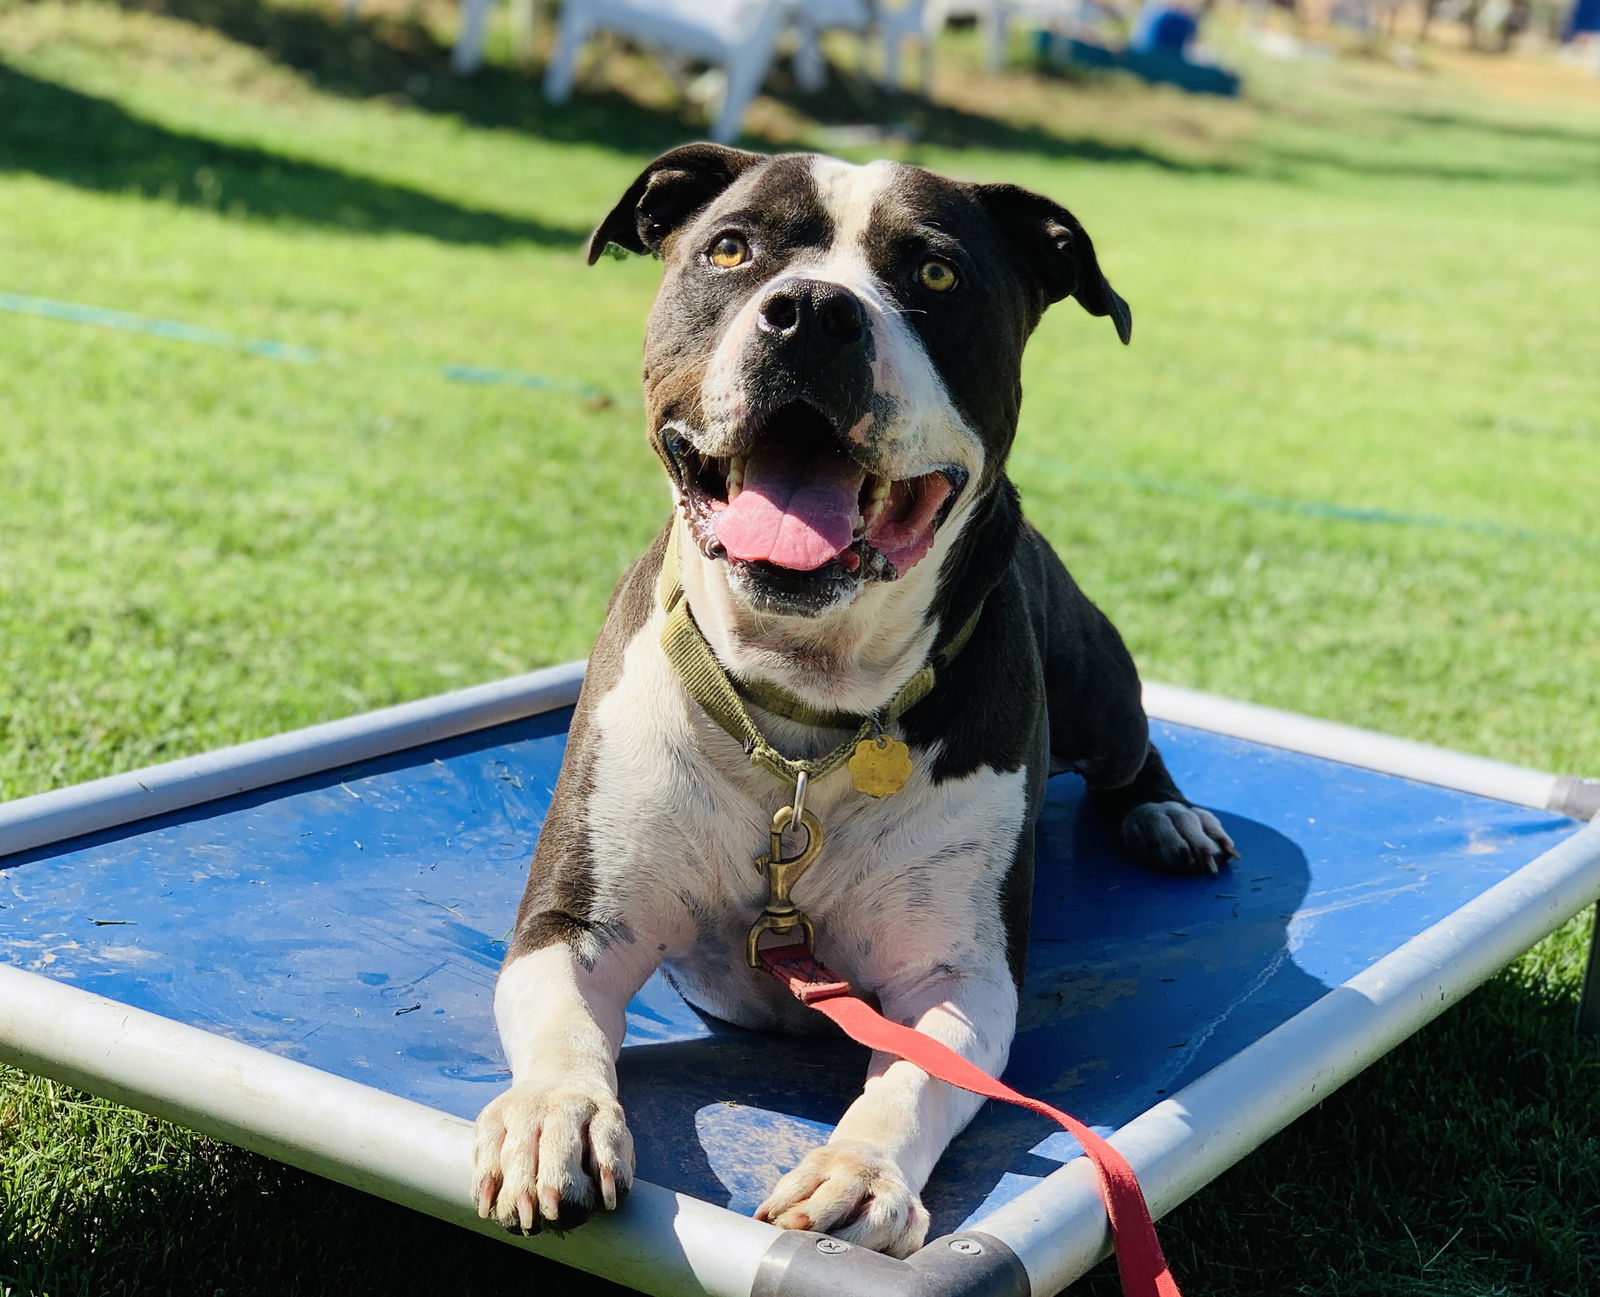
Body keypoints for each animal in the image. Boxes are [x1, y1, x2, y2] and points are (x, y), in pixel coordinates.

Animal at [467, 147, 1228, 1260]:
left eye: (938, 274)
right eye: (730, 248)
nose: (813, 312)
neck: (801, 717)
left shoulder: (958, 975)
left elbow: (912, 1081)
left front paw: (859, 1171)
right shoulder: (574, 925)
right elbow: (565, 1028)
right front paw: (549, 1118)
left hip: (1099, 684)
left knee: (1132, 752)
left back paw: (1167, 813)